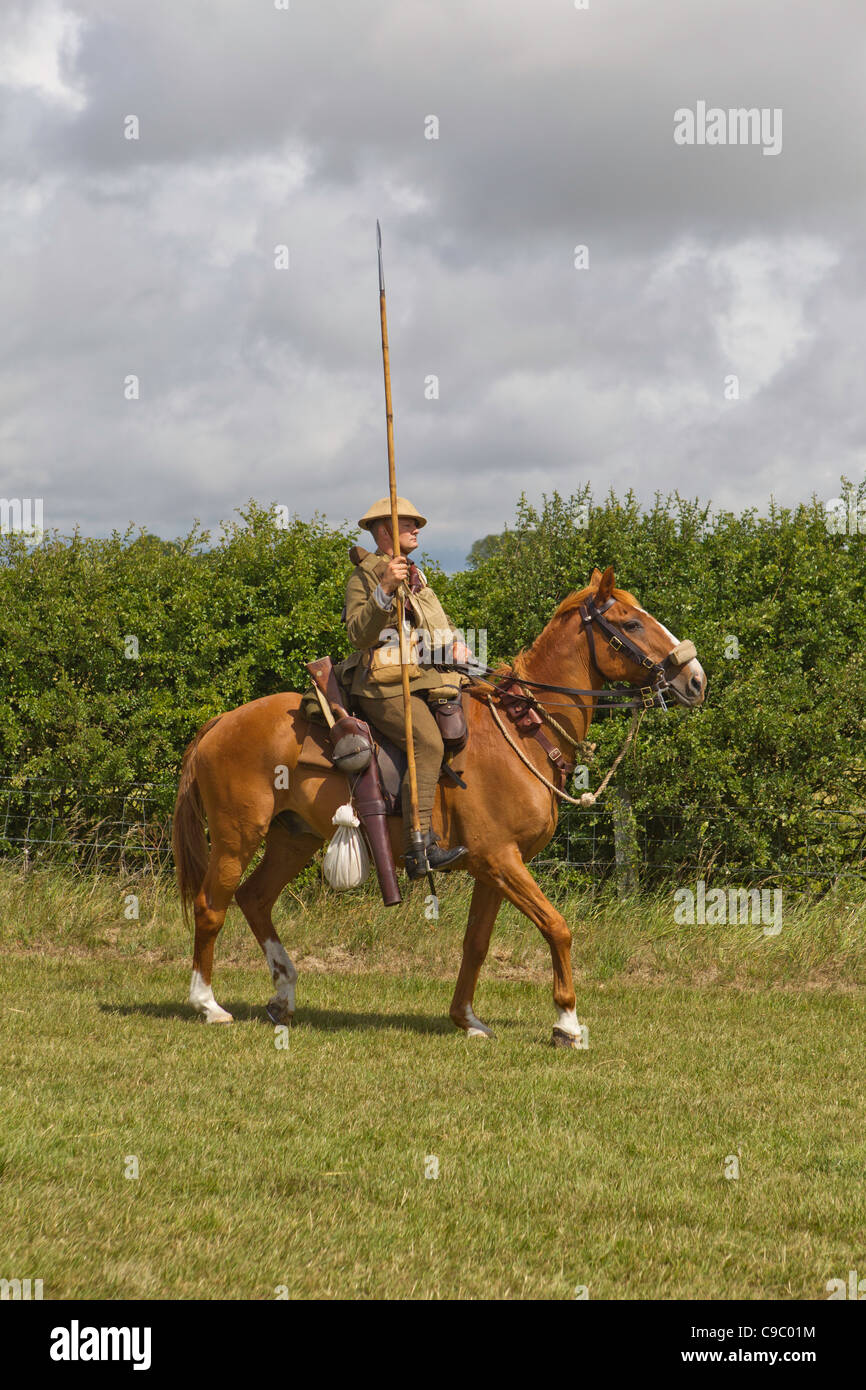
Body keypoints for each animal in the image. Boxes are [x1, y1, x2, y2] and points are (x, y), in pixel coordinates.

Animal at [170, 564, 706, 1045]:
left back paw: (283, 996)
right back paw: (208, 1004)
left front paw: (466, 1019)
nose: (696, 679)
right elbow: (557, 928)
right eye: (631, 623)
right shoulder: (501, 860)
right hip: (237, 838)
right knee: (211, 907)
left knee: (254, 898)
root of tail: (221, 722)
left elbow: (476, 943)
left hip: (292, 839)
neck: (521, 732)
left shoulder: (493, 869)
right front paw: (567, 1023)